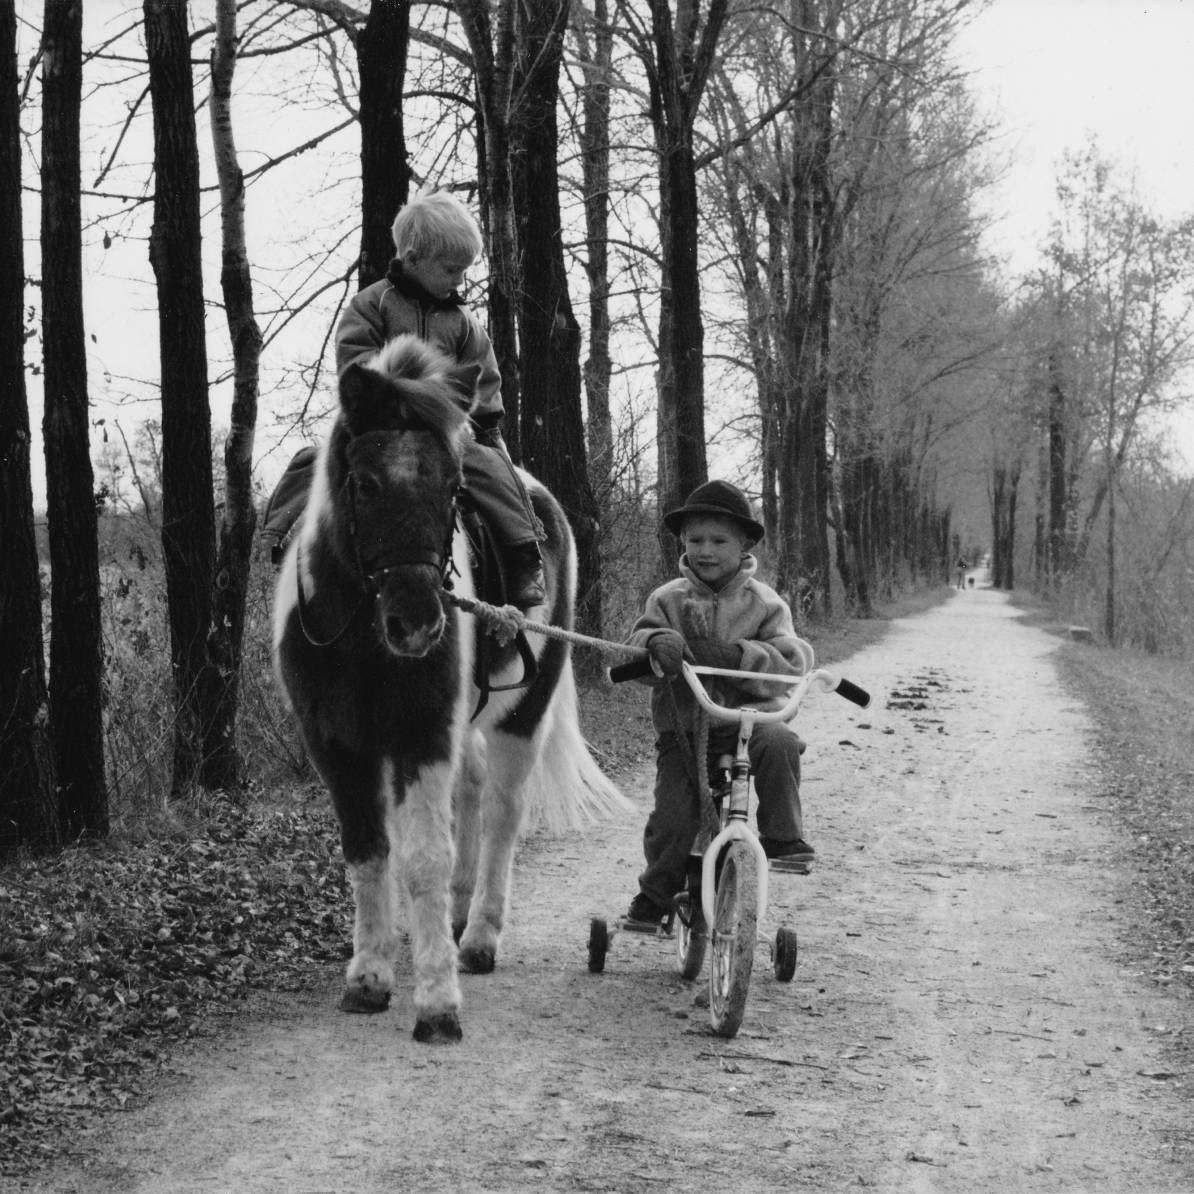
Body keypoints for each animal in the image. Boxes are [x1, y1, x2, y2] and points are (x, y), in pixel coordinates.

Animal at [272, 331, 625, 1041]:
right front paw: (369, 978)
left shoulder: (421, 732)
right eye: (365, 482)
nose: (418, 624)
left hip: (524, 714)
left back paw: (480, 938)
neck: (361, 633)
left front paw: (436, 1002)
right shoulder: (337, 746)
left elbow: (423, 858)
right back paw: (459, 920)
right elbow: (368, 853)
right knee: (472, 790)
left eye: (454, 484)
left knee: (503, 811)